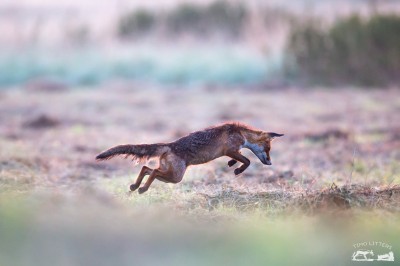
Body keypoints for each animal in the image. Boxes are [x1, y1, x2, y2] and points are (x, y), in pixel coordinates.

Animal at [95, 122, 282, 193]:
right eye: (268, 149)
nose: (270, 163)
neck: (240, 133)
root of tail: (170, 144)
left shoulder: (232, 151)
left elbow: (241, 158)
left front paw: (232, 164)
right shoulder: (229, 149)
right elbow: (247, 161)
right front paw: (238, 170)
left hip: (171, 175)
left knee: (146, 168)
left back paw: (136, 186)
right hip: (175, 177)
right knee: (152, 171)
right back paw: (142, 189)